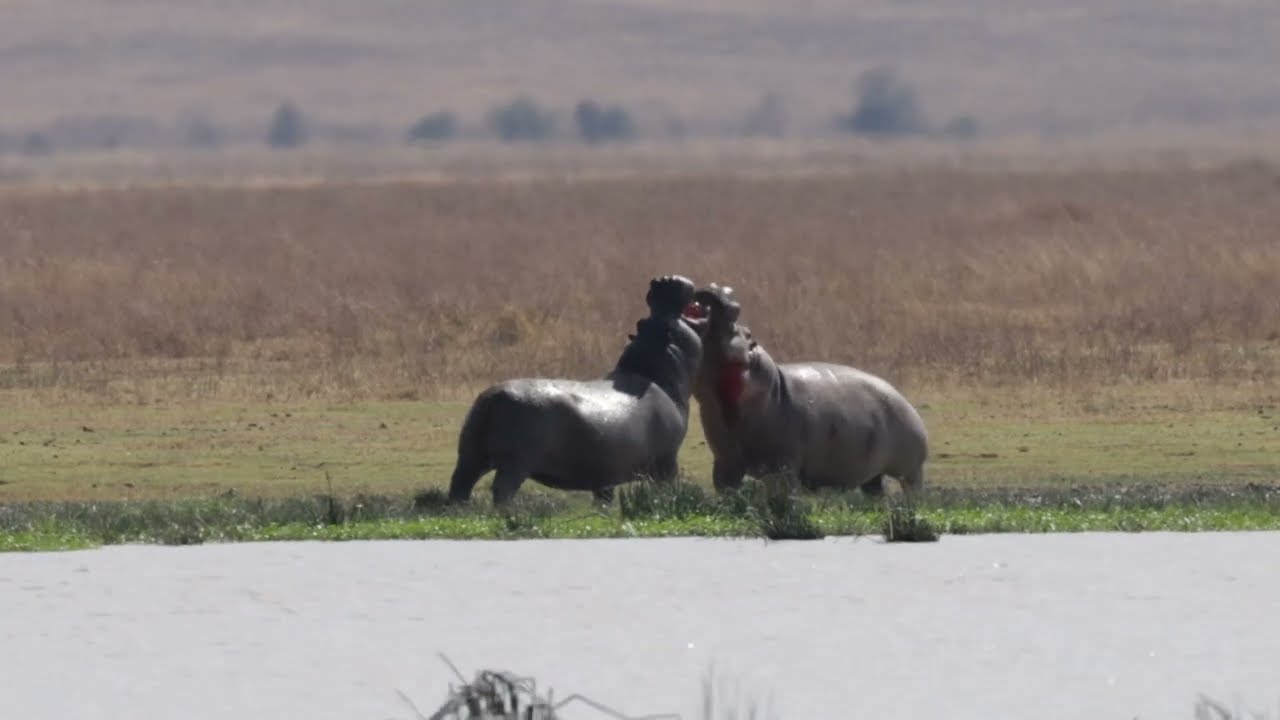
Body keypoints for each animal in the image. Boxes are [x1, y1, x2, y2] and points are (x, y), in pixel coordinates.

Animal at [446, 275, 710, 506]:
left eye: (641, 321)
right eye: (664, 321)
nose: (662, 280)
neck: (654, 369)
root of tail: (493, 397)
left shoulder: (605, 472)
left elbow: (604, 498)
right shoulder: (667, 461)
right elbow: (669, 487)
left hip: (470, 455)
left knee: (459, 485)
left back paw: (460, 511)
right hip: (516, 461)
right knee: (502, 489)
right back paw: (508, 512)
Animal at [690, 283, 928, 498]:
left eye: (739, 329)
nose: (712, 290)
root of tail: (905, 400)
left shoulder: (782, 467)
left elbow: (784, 495)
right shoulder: (725, 463)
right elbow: (727, 492)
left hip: (910, 470)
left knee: (913, 490)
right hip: (872, 475)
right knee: (875, 491)